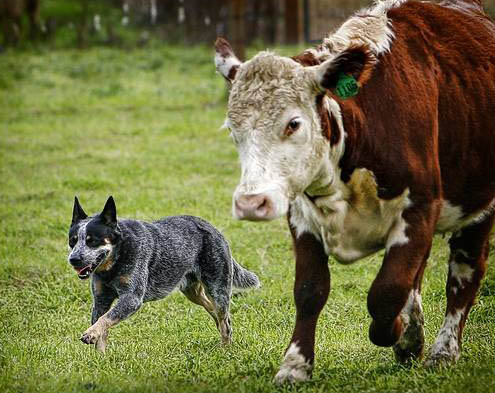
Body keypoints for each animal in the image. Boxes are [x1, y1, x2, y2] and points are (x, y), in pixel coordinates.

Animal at [68, 194, 262, 350]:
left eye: (92, 240)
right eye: (73, 241)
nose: (73, 259)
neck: (114, 262)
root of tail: (214, 229)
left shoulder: (132, 298)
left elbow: (105, 319)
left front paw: (90, 334)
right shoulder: (101, 299)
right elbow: (102, 324)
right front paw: (101, 358)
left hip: (217, 287)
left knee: (224, 320)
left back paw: (225, 349)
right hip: (192, 291)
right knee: (214, 310)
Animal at [214, 0, 495, 382]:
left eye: (293, 123)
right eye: (233, 129)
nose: (250, 203)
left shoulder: (420, 208)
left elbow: (386, 292)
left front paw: (396, 332)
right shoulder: (302, 218)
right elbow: (310, 290)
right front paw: (295, 365)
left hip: (479, 208)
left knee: (464, 274)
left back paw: (442, 351)